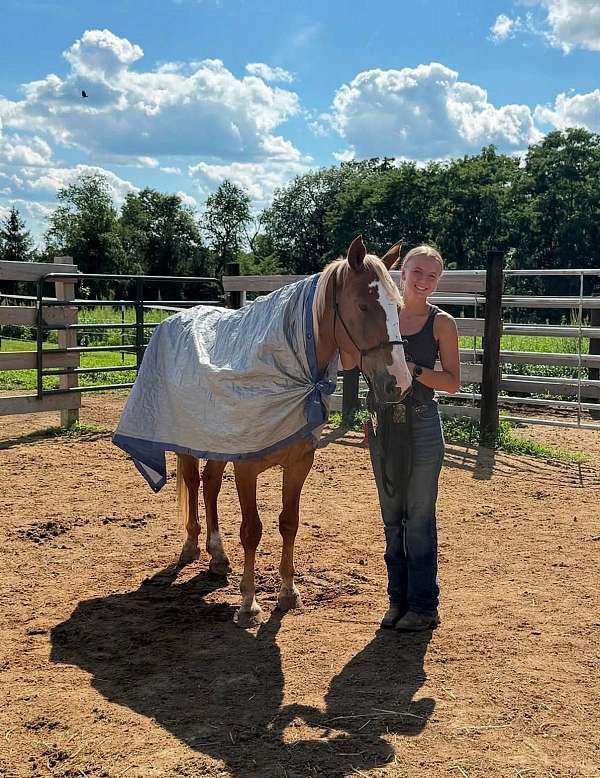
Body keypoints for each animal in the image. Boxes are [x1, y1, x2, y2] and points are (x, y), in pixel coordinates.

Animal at [172, 235, 412, 627]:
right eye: (363, 305)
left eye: (398, 307)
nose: (399, 383)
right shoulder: (246, 467)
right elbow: (252, 531)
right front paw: (249, 603)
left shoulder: (299, 462)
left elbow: (289, 522)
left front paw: (287, 592)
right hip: (189, 443)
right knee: (194, 483)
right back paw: (191, 546)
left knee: (210, 484)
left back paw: (218, 555)